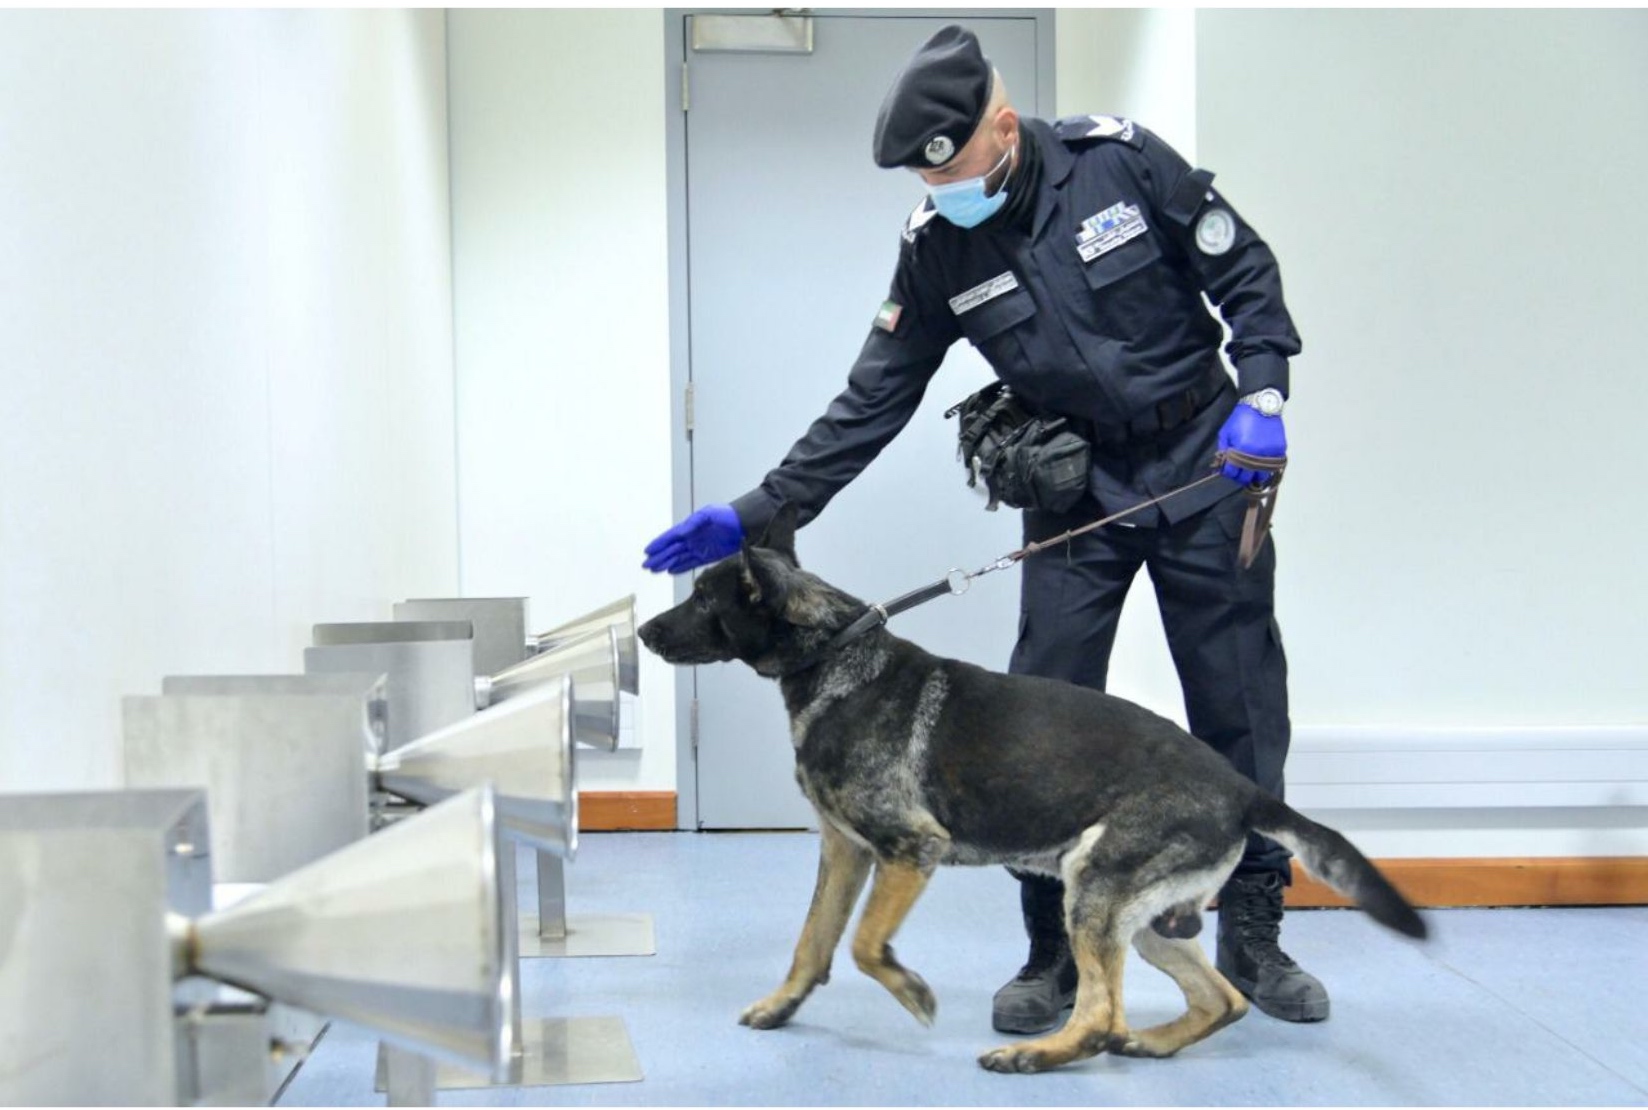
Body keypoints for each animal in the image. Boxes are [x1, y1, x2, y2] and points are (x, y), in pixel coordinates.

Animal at [636, 507, 1423, 1067]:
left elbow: (861, 944)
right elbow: (813, 940)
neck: (834, 651)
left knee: (1102, 1016)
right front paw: (782, 1006)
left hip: (1093, 888)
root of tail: (1242, 787)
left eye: (702, 599)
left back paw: (1035, 1057)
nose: (643, 632)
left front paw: (913, 994)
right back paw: (1149, 1041)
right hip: (1138, 917)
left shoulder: (909, 851)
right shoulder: (845, 851)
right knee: (1216, 1000)